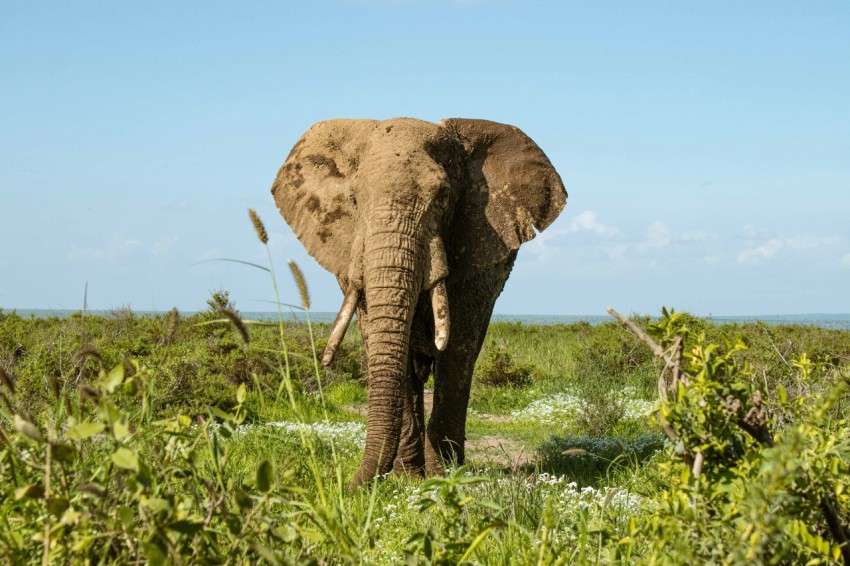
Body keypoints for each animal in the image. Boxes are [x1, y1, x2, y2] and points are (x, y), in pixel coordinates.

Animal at [271, 117, 566, 489]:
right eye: (353, 199)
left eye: (443, 197)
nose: (350, 487)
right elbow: (385, 344)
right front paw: (407, 479)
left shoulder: (478, 247)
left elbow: (457, 350)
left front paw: (444, 477)